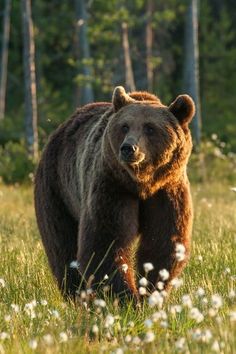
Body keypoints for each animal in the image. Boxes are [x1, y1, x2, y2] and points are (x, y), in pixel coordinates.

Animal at [34, 85, 195, 298]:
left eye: (150, 127)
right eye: (125, 126)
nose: (128, 148)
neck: (141, 183)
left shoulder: (167, 190)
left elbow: (163, 241)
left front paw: (149, 291)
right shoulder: (112, 186)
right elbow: (105, 241)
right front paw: (126, 296)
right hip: (57, 190)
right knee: (62, 244)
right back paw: (77, 293)